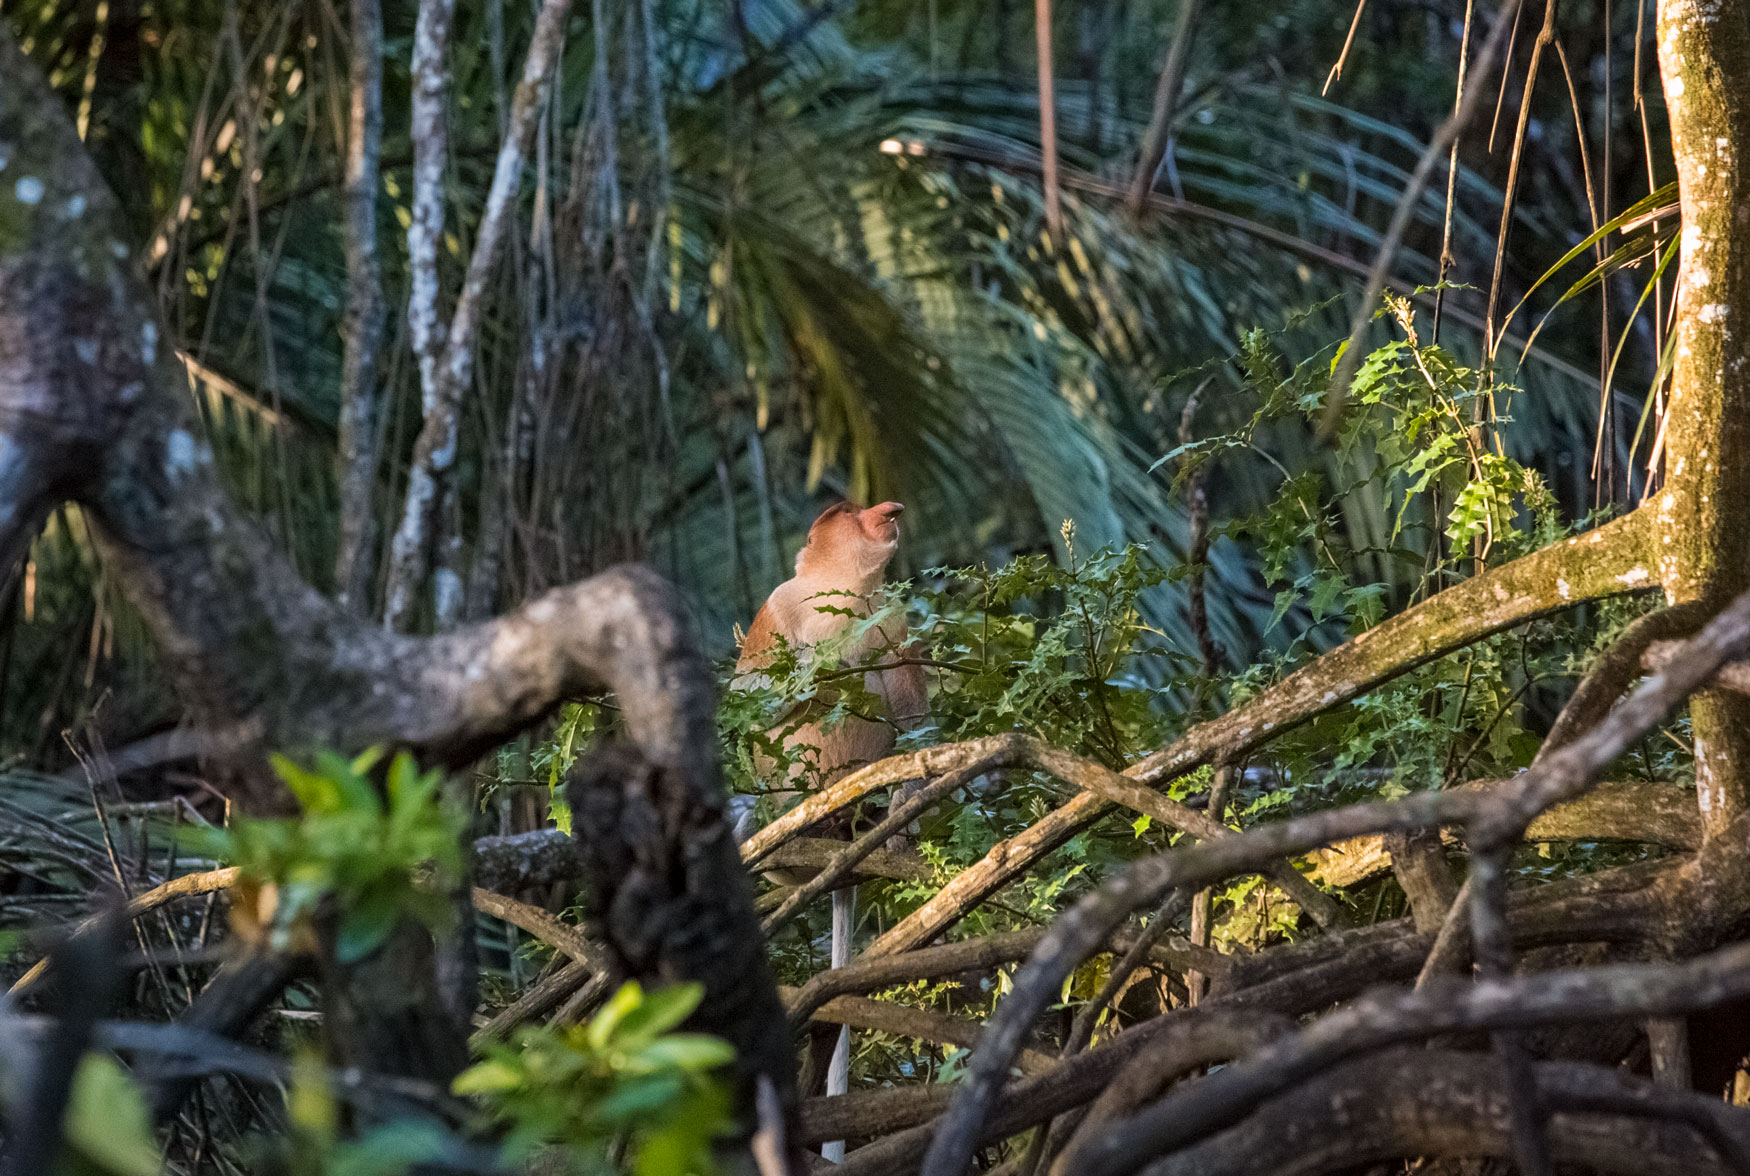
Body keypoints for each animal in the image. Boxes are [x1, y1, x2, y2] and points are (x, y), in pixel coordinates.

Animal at [734, 500, 928, 1159]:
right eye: (846, 513)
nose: (888, 510)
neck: (844, 590)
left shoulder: (891, 619)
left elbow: (913, 714)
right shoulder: (779, 605)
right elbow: (755, 699)